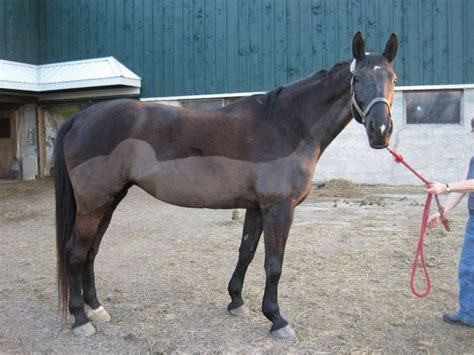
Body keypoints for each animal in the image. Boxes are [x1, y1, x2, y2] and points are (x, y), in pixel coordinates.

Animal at [53, 32, 398, 340]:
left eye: (393, 79)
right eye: (357, 80)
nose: (380, 131)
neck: (287, 125)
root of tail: (80, 118)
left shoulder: (256, 208)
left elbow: (246, 252)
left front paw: (236, 301)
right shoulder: (279, 208)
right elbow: (274, 263)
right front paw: (277, 319)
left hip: (109, 201)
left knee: (91, 251)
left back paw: (96, 308)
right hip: (93, 203)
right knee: (75, 252)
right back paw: (81, 318)